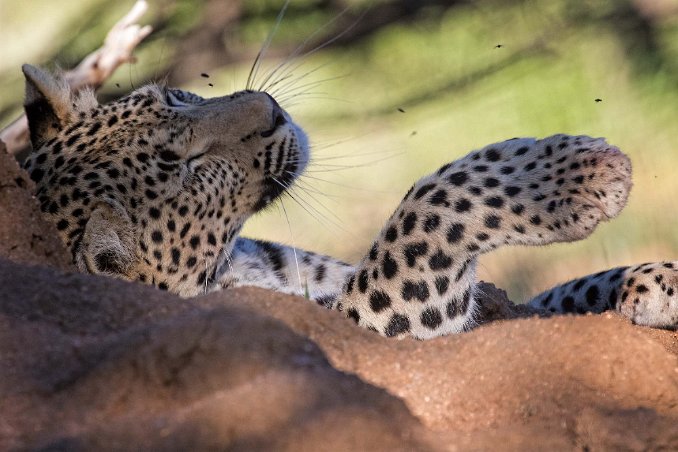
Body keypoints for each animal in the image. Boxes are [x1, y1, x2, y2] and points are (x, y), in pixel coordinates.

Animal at [18, 64, 676, 340]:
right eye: (185, 167)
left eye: (176, 97)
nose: (271, 110)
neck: (237, 260)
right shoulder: (370, 324)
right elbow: (430, 204)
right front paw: (578, 175)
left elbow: (565, 290)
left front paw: (656, 283)